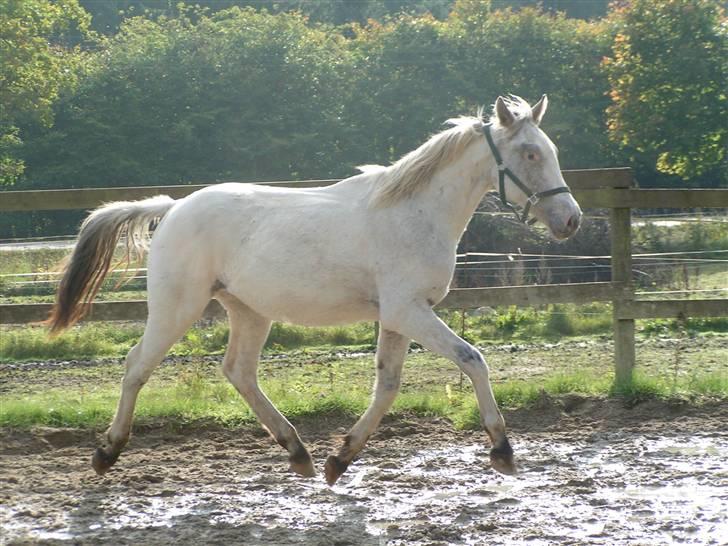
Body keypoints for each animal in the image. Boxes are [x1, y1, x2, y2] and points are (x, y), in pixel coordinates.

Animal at [47, 95, 580, 482]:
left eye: (552, 151)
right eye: (530, 153)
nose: (570, 220)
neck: (415, 213)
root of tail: (174, 207)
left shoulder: (397, 316)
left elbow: (387, 387)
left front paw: (339, 460)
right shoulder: (409, 311)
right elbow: (473, 360)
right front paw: (503, 451)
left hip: (248, 310)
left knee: (238, 372)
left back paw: (298, 453)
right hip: (178, 306)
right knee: (137, 365)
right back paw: (106, 453)